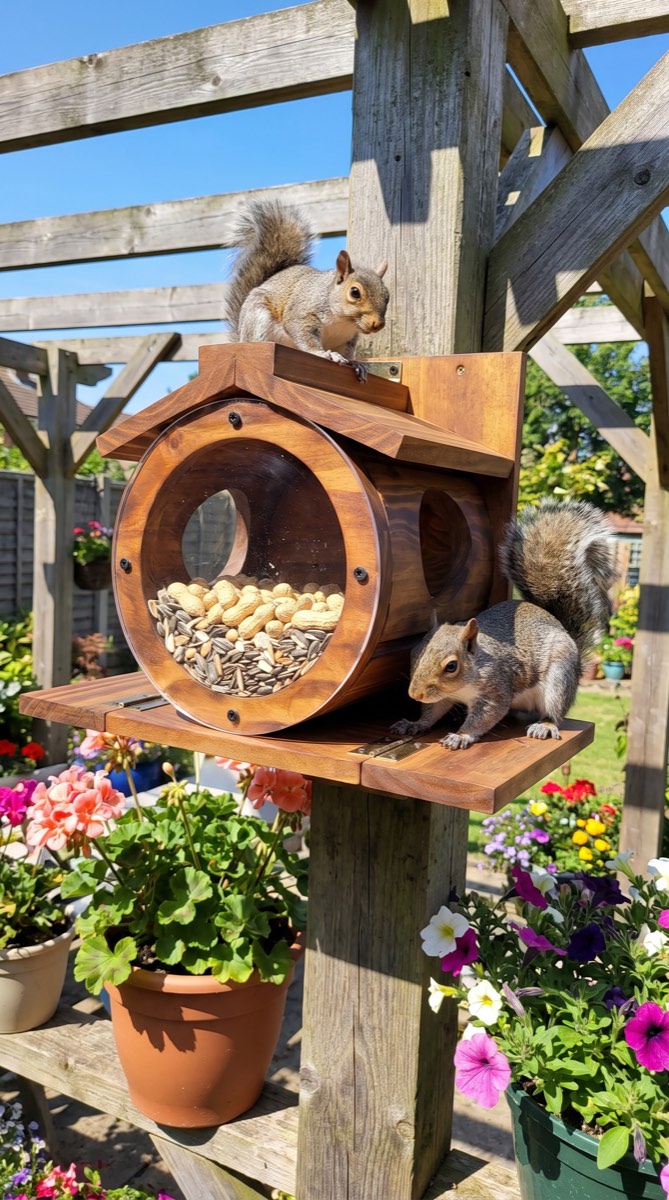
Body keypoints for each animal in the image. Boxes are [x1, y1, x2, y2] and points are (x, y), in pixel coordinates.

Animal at [225, 199, 389, 380]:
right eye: (355, 292)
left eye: (387, 296)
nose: (378, 324)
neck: (342, 321)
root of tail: (241, 334)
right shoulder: (302, 313)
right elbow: (303, 335)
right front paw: (324, 354)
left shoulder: (347, 339)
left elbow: (347, 353)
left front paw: (356, 364)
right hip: (257, 318)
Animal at [390, 499, 617, 751]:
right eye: (414, 652)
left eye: (451, 666)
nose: (415, 694)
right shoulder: (444, 696)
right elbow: (432, 711)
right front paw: (415, 723)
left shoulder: (495, 690)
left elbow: (485, 716)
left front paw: (461, 735)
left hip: (560, 677)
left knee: (555, 712)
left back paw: (545, 725)